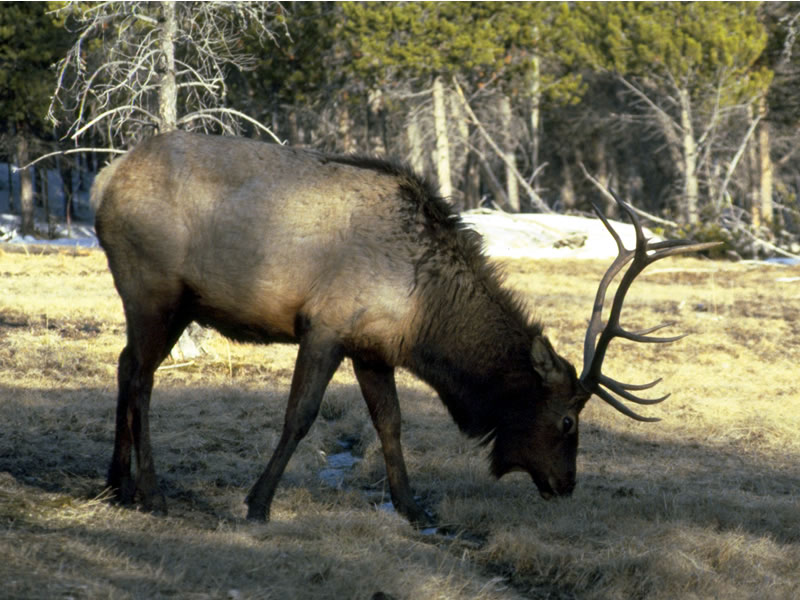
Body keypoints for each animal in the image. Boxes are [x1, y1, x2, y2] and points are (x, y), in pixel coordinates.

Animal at [91, 131, 715, 526]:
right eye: (567, 420)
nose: (566, 486)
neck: (424, 320)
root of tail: (103, 179)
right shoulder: (326, 325)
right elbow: (300, 417)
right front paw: (258, 503)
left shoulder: (373, 347)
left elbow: (390, 424)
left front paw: (412, 506)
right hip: (153, 288)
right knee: (142, 377)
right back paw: (151, 492)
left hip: (169, 302)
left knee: (124, 365)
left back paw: (116, 483)